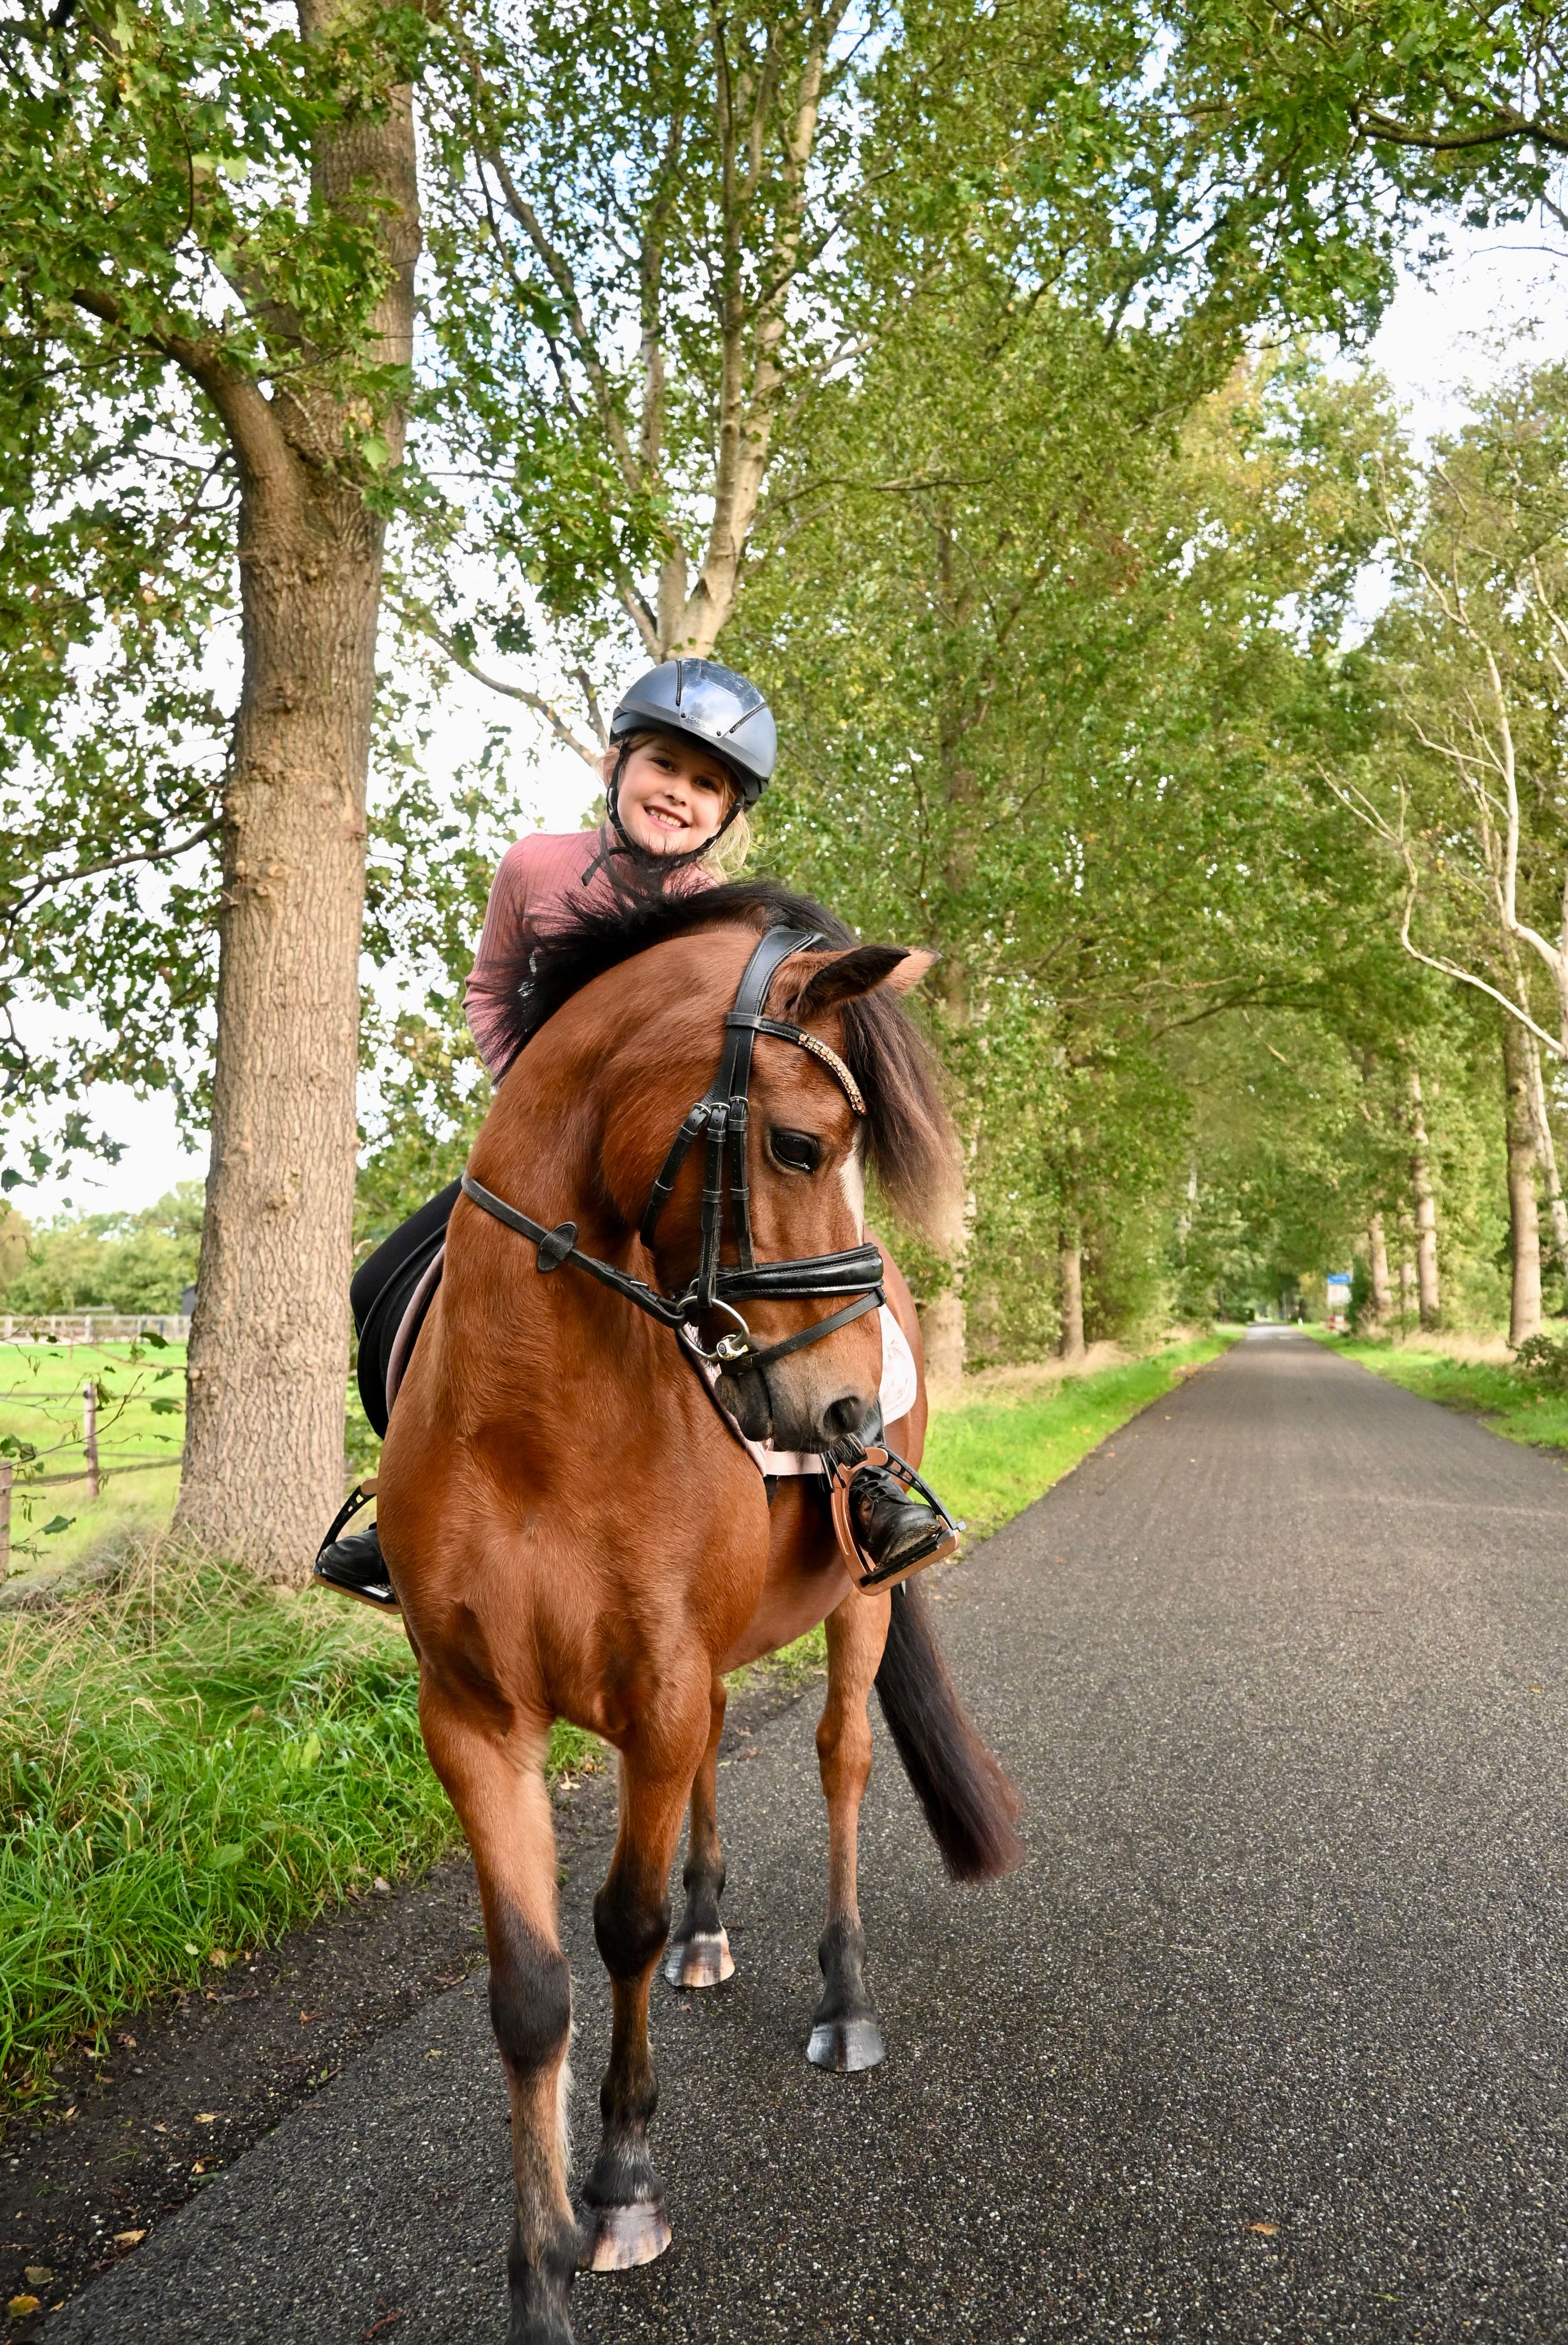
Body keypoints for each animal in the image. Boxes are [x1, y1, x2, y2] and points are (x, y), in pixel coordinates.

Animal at [375, 880, 1024, 2345]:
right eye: (797, 1143)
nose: (844, 1408)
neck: (533, 1417)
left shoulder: (658, 1690)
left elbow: (618, 1923)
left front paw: (618, 2190)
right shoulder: (474, 1716)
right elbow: (530, 1991)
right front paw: (536, 2278)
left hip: (856, 1614)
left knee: (841, 1763)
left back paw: (843, 1999)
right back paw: (713, 1934)